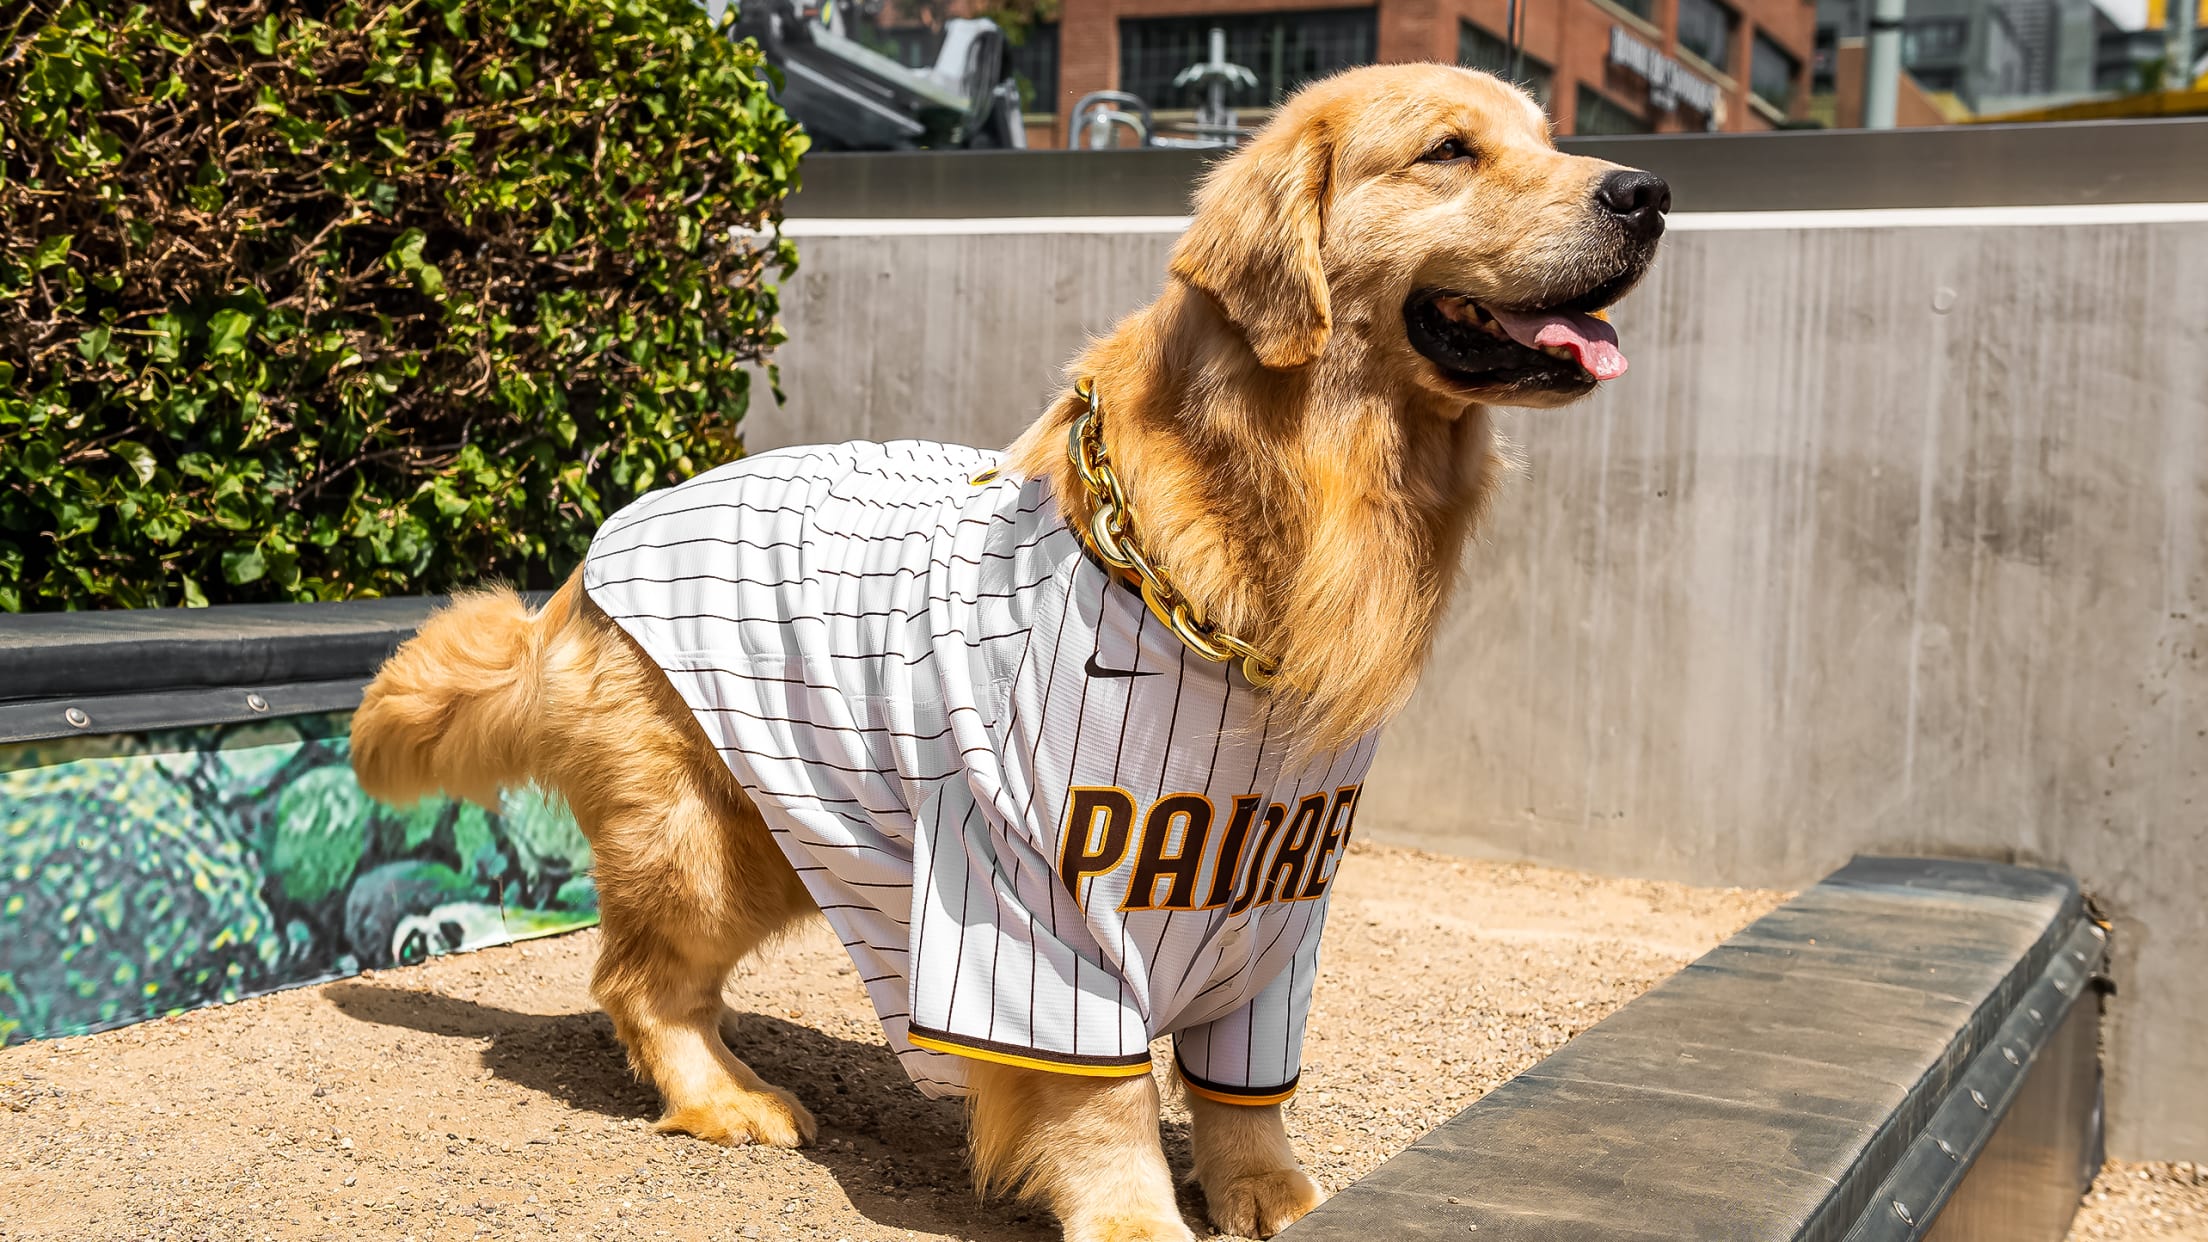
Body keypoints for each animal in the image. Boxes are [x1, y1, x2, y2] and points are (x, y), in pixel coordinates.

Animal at [348, 65, 1660, 1237]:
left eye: (1548, 137)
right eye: (1450, 151)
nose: (1646, 192)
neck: (1282, 507)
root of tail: (584, 565)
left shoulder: (1277, 895)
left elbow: (1242, 1087)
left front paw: (1265, 1187)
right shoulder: (1031, 890)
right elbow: (1100, 1097)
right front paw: (1135, 1216)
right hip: (706, 839)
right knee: (637, 981)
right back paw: (726, 1099)